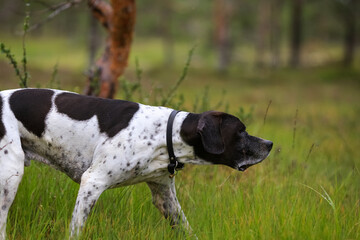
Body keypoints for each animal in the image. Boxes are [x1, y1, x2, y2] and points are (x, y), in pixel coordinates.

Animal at [0, 88, 270, 238]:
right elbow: (76, 229)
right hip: (10, 176)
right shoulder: (92, 182)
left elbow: (186, 228)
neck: (166, 133)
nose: (269, 144)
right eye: (241, 131)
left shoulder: (165, 197)